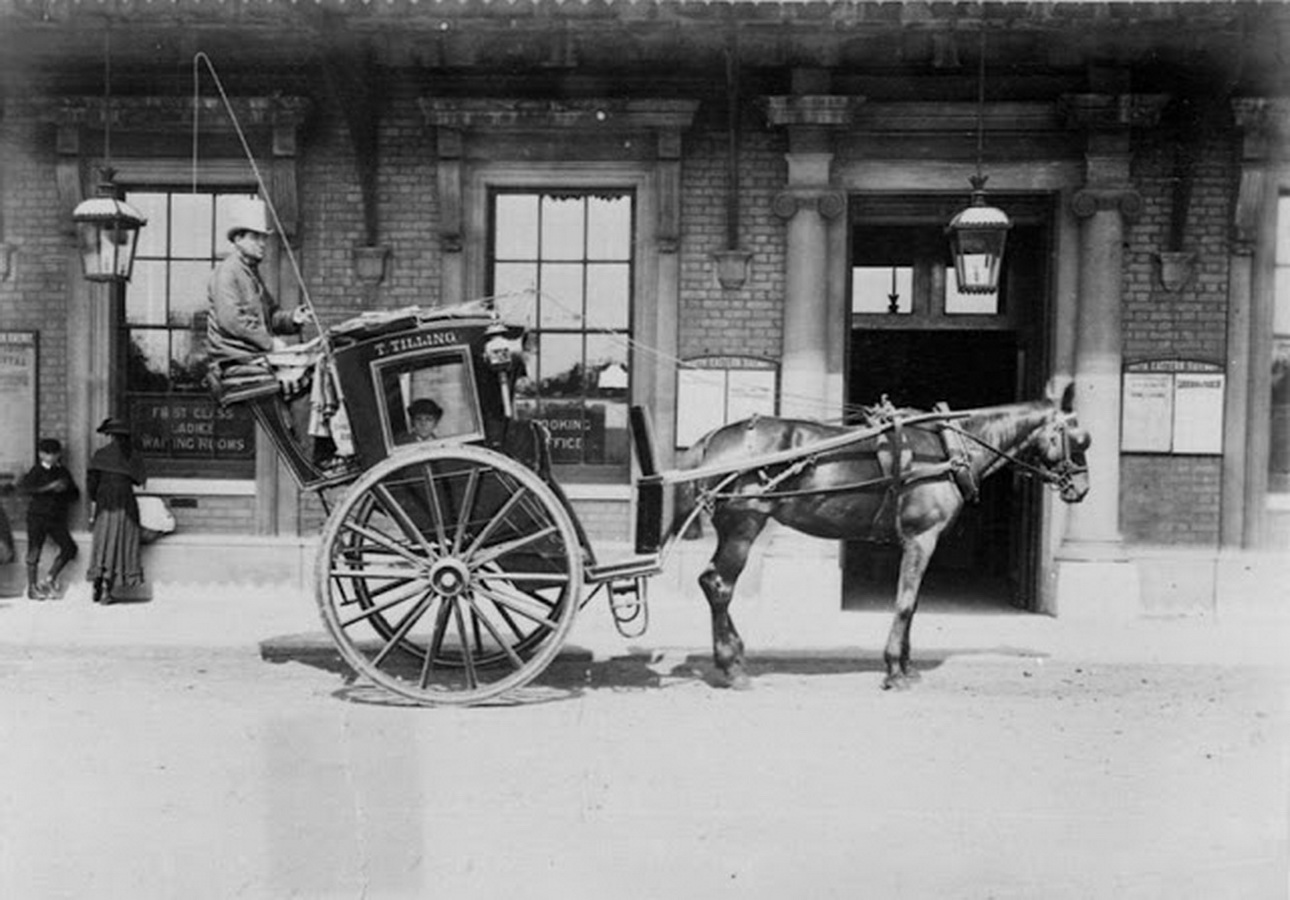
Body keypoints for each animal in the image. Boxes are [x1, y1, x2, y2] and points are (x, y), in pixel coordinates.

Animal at [669, 389, 1090, 691]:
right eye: (1079, 437)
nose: (1082, 489)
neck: (948, 448)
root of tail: (711, 439)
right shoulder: (921, 539)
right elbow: (905, 603)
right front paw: (894, 670)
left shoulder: (920, 542)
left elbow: (913, 605)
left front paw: (906, 665)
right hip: (743, 525)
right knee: (719, 586)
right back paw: (732, 667)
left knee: (710, 583)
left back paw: (736, 657)